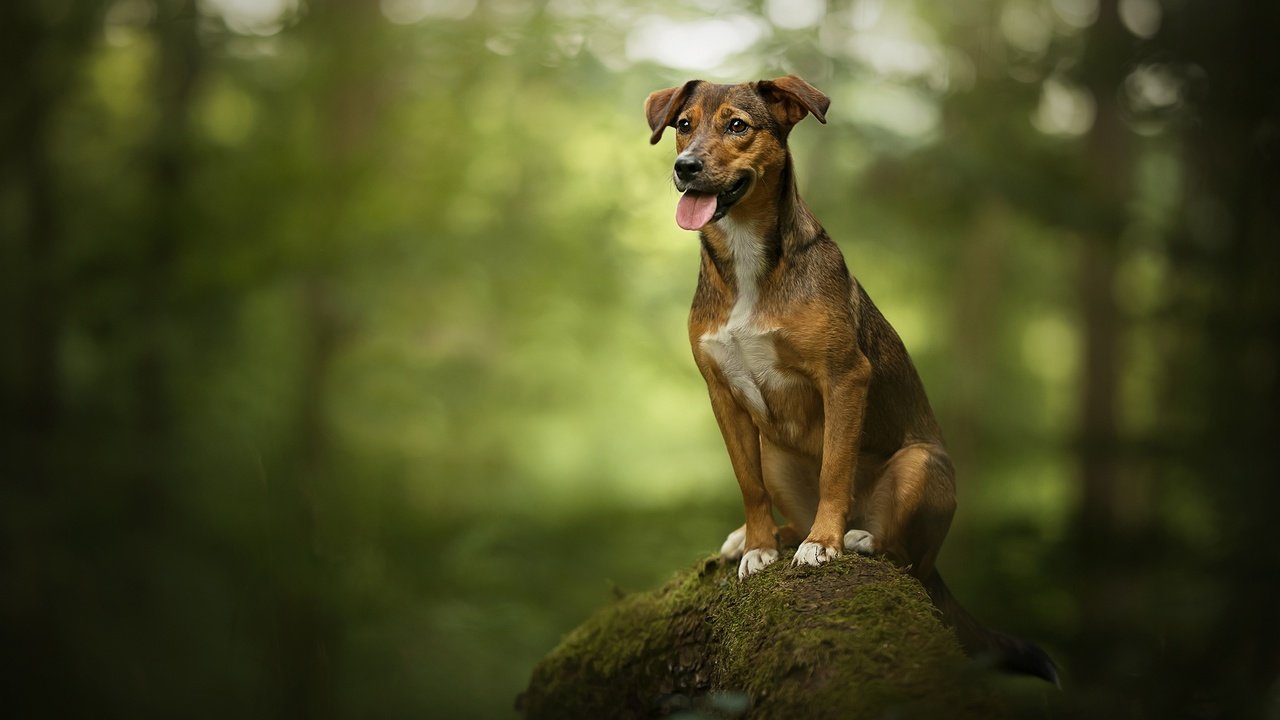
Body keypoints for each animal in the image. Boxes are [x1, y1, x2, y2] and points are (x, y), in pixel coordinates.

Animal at [645, 75, 1054, 681]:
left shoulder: (844, 377)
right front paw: (759, 547)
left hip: (922, 465)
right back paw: (766, 537)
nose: (686, 167)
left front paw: (824, 543)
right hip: (774, 451)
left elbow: (836, 468)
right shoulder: (722, 396)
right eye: (683, 125)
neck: (747, 260)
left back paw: (857, 537)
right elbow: (748, 485)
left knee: (904, 558)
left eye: (738, 125)